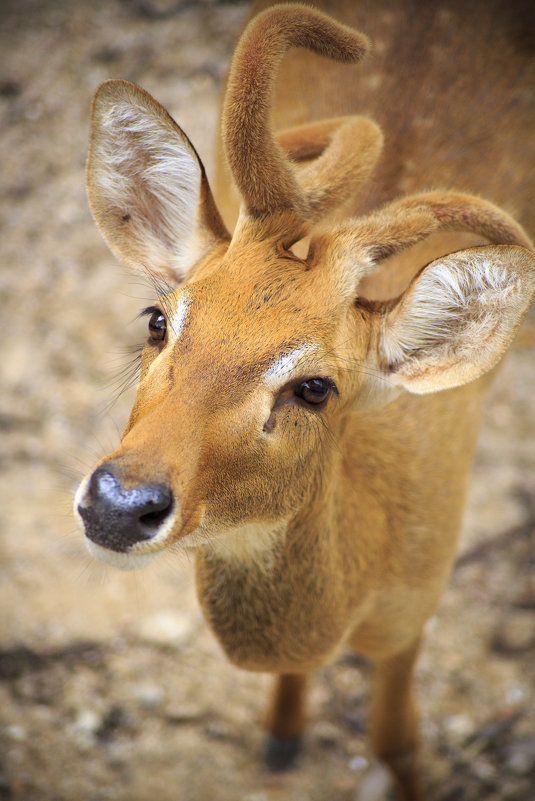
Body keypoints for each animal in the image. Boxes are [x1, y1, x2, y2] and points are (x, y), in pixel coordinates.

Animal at [73, 1, 532, 800]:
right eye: (158, 319)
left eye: (315, 387)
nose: (120, 502)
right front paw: (281, 734)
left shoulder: (419, 604)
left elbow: (397, 739)